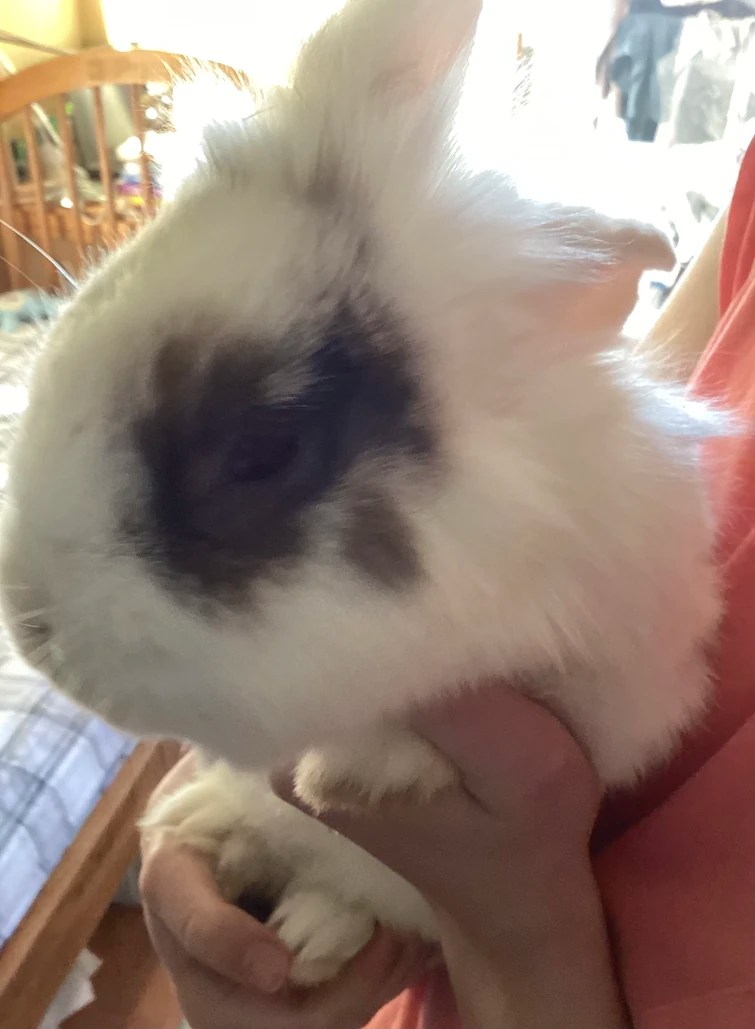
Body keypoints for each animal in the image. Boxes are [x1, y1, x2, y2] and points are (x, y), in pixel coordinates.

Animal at [0, 0, 726, 987]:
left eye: (261, 451)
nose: (30, 630)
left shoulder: (623, 679)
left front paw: (353, 774)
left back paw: (309, 930)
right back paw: (206, 824)